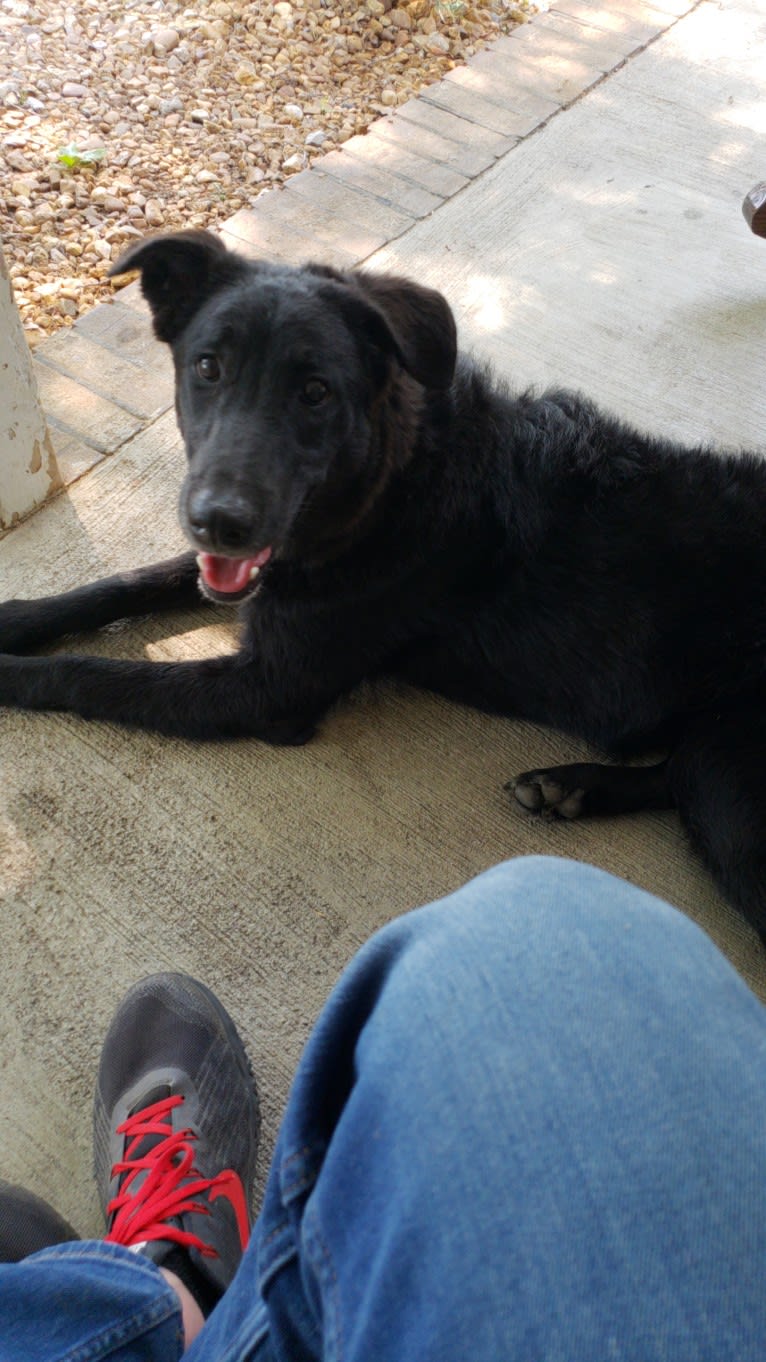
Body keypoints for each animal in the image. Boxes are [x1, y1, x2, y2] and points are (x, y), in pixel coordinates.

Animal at [4, 231, 763, 937]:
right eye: (207, 367)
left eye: (315, 392)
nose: (218, 523)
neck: (392, 478)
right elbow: (123, 583)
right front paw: (19, 617)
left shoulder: (269, 689)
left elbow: (94, 673)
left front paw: (13, 672)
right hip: (716, 761)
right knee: (675, 774)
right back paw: (570, 788)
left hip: (733, 787)